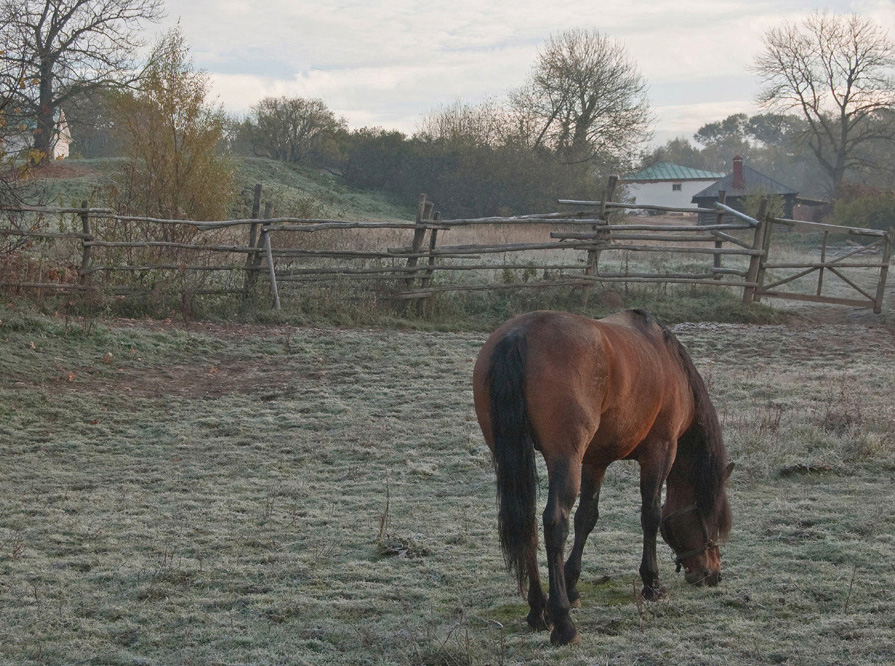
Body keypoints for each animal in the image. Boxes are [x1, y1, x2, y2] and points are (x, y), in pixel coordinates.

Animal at [472, 310, 732, 644]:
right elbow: (650, 515)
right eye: (712, 517)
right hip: (565, 458)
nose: (713, 574)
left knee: (526, 523)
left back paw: (538, 610)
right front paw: (651, 583)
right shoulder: (660, 451)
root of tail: (520, 333)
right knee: (555, 522)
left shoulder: (595, 461)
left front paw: (571, 584)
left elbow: (587, 517)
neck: (668, 361)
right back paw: (563, 623)